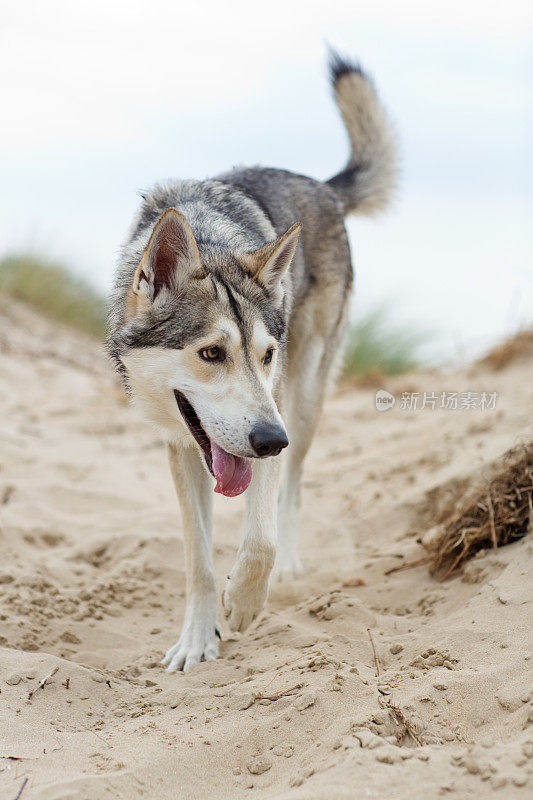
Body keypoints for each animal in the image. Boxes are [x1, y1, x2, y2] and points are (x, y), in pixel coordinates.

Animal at [108, 53, 396, 672]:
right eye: (211, 353)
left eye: (265, 355)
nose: (268, 439)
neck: (209, 237)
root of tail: (319, 185)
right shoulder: (182, 447)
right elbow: (198, 558)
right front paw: (199, 638)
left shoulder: (274, 406)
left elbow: (258, 536)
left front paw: (242, 604)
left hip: (304, 404)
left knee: (295, 485)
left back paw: (286, 567)